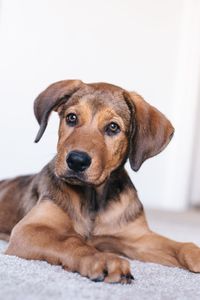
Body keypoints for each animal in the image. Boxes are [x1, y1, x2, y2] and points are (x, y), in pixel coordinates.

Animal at [0, 80, 200, 284]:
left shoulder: (139, 238)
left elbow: (182, 245)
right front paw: (103, 258)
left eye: (113, 127)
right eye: (71, 118)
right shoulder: (29, 229)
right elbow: (71, 241)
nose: (76, 161)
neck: (93, 198)